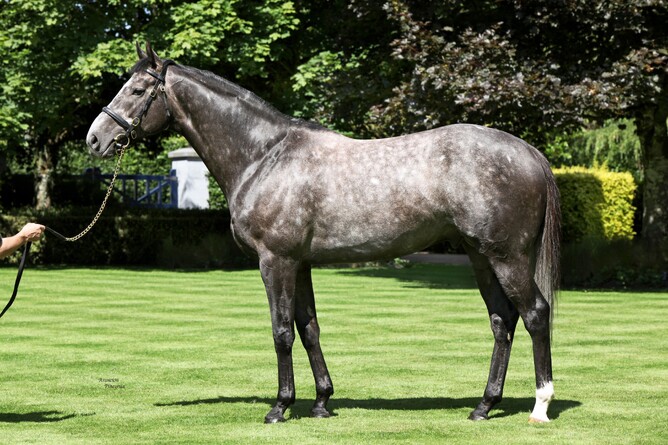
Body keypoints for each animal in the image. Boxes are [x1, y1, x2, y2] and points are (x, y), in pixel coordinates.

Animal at [86, 42, 560, 424]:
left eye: (136, 91)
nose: (94, 139)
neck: (265, 155)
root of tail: (528, 152)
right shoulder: (301, 264)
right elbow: (308, 327)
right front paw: (320, 403)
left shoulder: (275, 261)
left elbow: (281, 331)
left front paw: (280, 407)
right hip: (481, 257)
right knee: (502, 321)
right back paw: (483, 406)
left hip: (507, 257)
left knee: (535, 314)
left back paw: (540, 406)